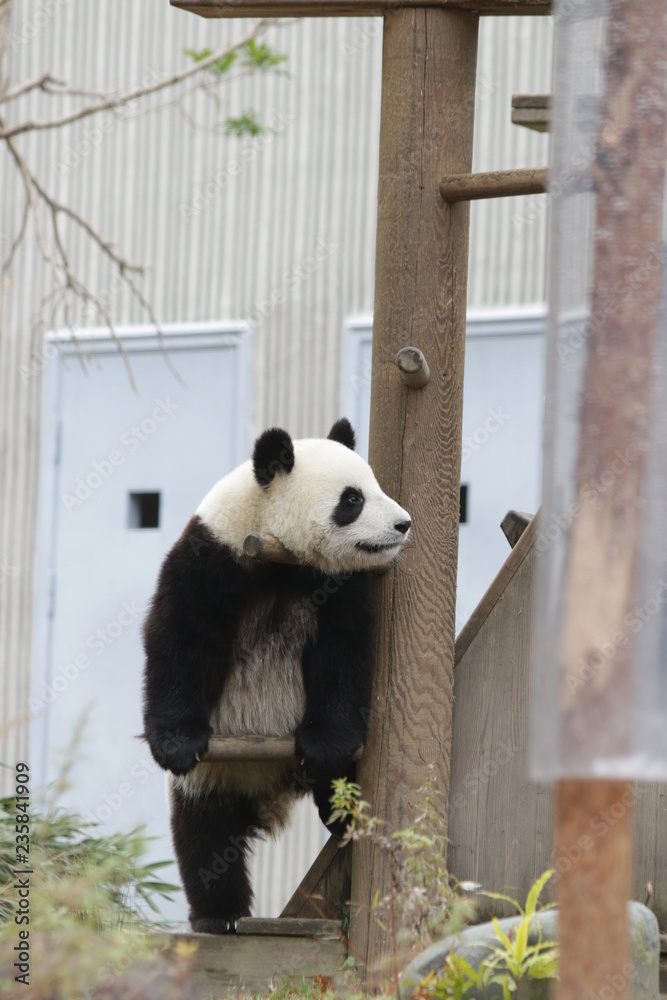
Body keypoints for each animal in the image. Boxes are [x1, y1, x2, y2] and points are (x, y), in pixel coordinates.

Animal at [142, 418, 411, 934]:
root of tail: (271, 787)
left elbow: (344, 656)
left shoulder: (341, 584)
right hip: (214, 772)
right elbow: (181, 639)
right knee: (204, 837)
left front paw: (325, 743)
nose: (403, 524)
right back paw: (219, 914)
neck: (280, 553)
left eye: (376, 486)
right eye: (352, 499)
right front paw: (175, 742)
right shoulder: (213, 556)